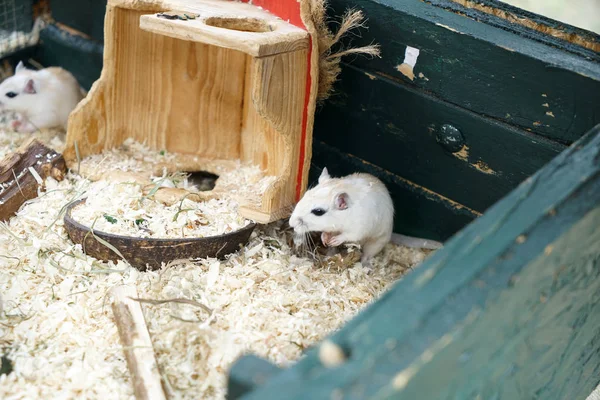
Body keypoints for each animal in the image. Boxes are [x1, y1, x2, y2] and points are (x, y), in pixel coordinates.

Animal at [288, 168, 442, 266]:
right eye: (305, 195)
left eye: (318, 211)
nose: (291, 223)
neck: (342, 219)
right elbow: (327, 232)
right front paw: (325, 238)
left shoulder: (358, 228)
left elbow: (348, 235)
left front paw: (335, 239)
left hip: (375, 243)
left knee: (367, 255)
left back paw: (364, 266)